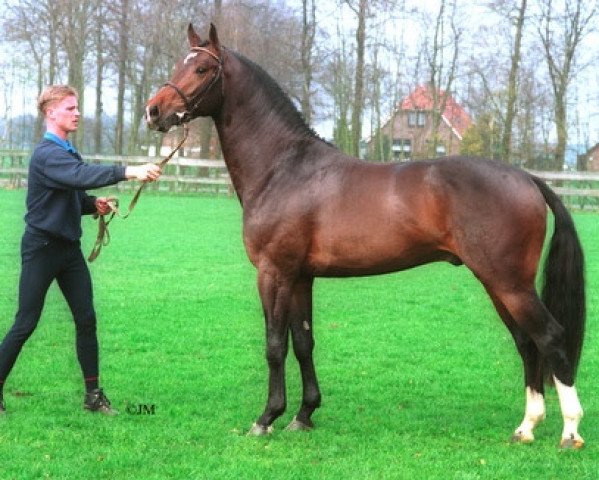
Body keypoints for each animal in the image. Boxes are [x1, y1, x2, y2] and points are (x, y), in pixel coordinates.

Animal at [145, 23, 584, 450]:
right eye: (180, 62)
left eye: (202, 68)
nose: (154, 111)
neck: (284, 168)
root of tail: (526, 177)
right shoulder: (301, 277)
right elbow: (303, 343)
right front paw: (304, 415)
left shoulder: (274, 272)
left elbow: (275, 345)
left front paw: (267, 418)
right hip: (498, 284)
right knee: (527, 343)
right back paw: (526, 428)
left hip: (509, 283)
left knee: (550, 337)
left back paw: (569, 433)